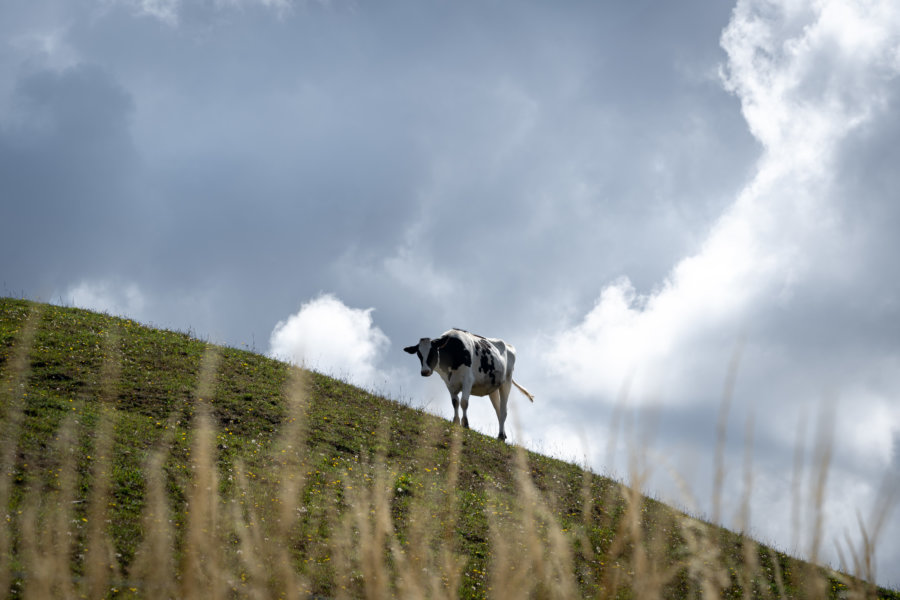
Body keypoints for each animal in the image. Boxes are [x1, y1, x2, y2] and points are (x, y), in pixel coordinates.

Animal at [402, 328, 536, 440]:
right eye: (419, 354)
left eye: (433, 352)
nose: (425, 371)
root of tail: (508, 345)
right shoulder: (449, 383)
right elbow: (455, 402)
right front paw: (456, 421)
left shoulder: (468, 380)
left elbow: (464, 402)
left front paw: (465, 424)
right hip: (493, 388)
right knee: (498, 410)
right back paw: (502, 434)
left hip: (506, 382)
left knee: (503, 411)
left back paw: (500, 436)